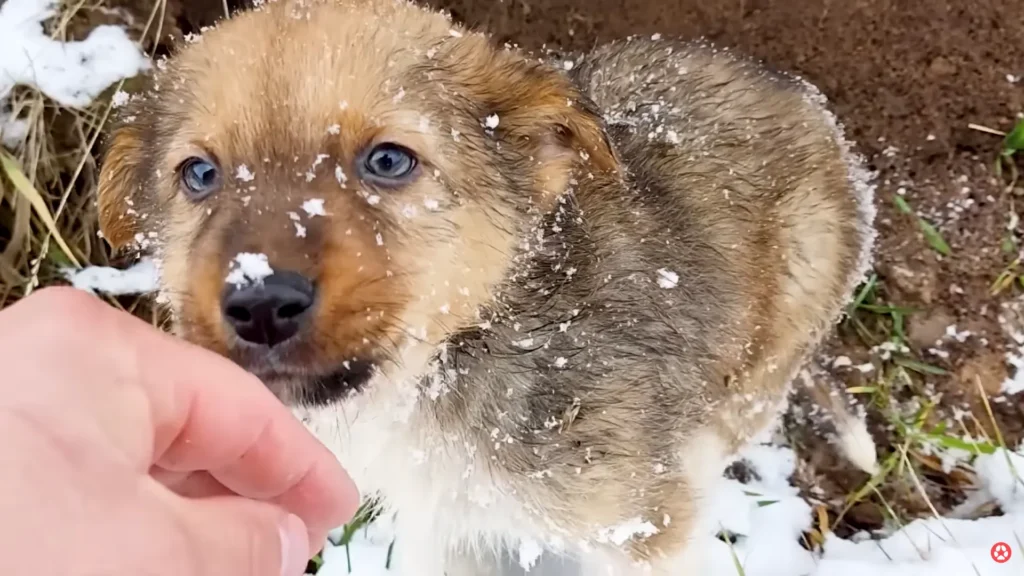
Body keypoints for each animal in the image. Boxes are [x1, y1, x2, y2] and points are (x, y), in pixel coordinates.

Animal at [97, 2, 872, 569]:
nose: (258, 304)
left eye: (388, 160)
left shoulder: (644, 530)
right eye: (199, 174)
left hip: (762, 369)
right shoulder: (451, 527)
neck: (455, 367)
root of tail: (806, 100)